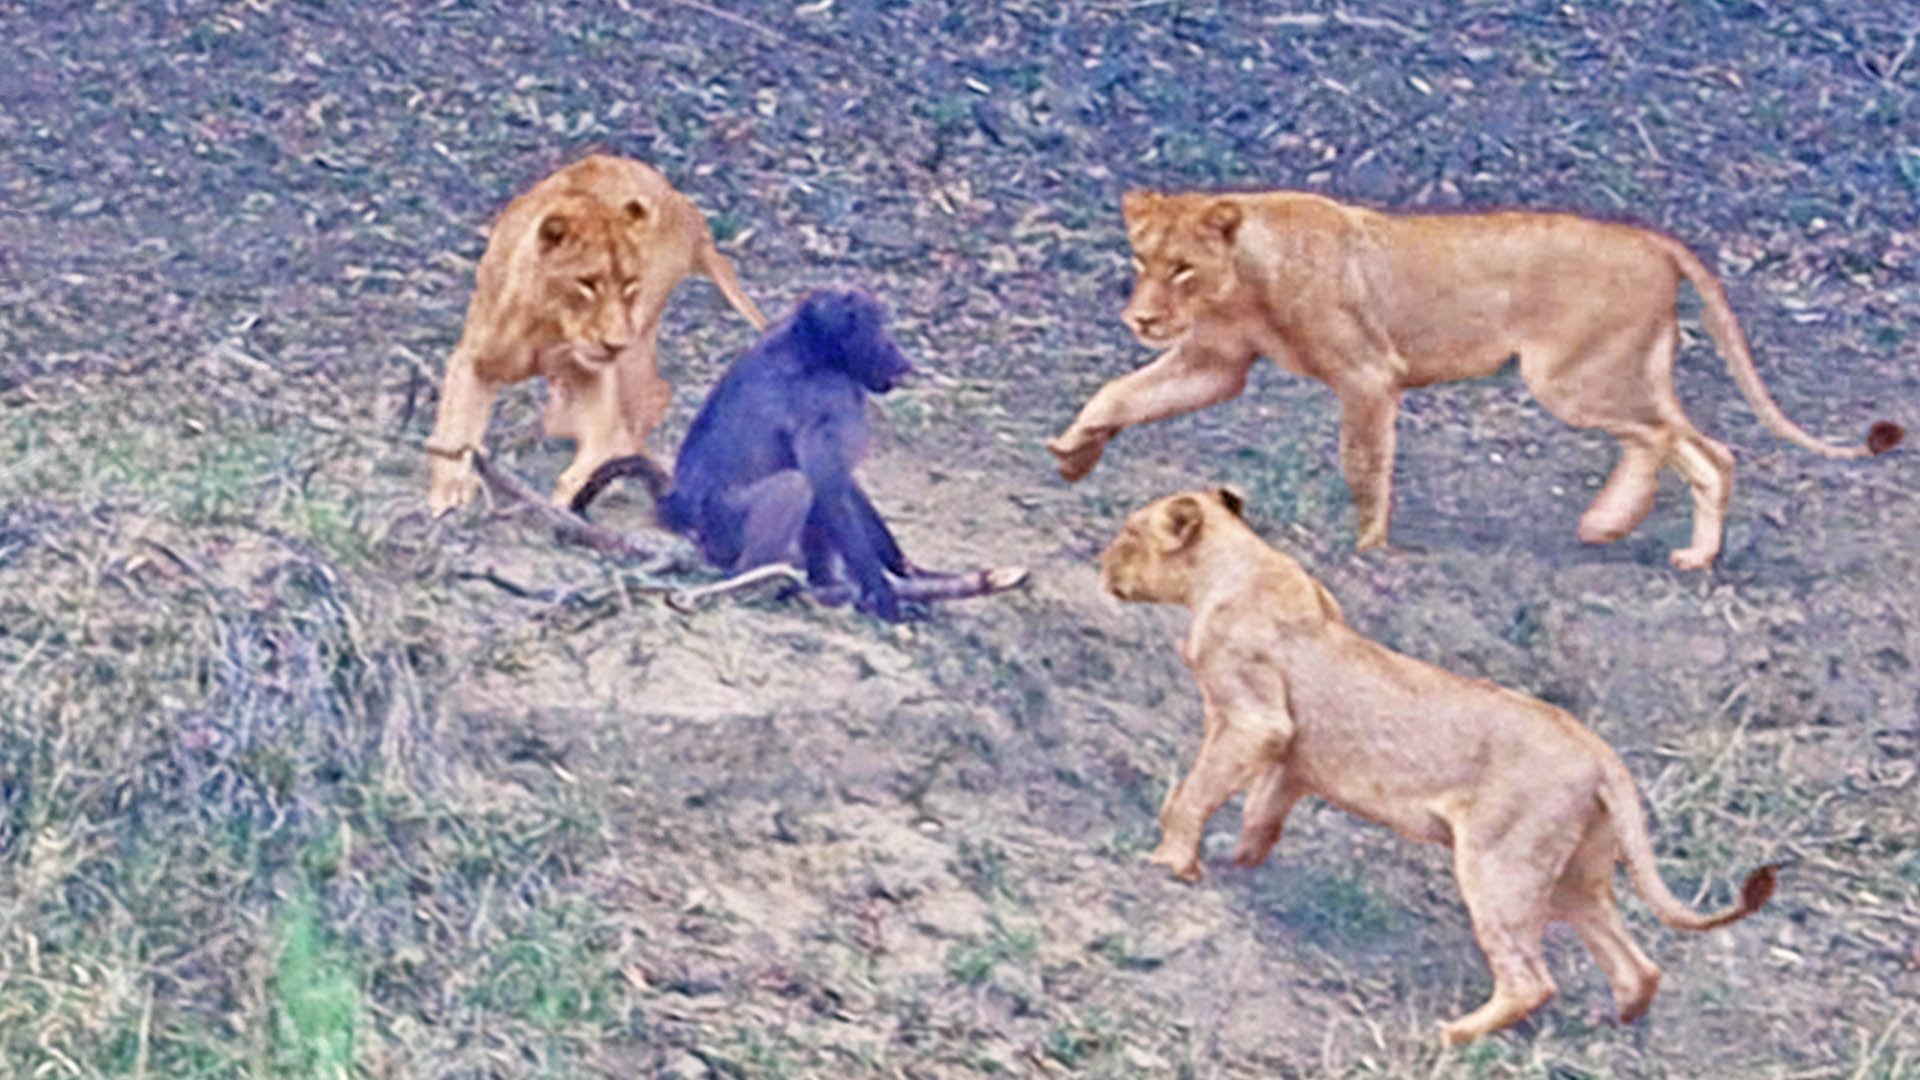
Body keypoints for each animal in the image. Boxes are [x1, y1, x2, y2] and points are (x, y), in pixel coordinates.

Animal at [426, 154, 767, 515]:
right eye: (587, 283)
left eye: (629, 283)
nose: (614, 343)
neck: (549, 322)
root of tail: (684, 205)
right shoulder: (473, 358)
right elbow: (454, 427)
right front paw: (447, 497)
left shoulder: (597, 377)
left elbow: (599, 444)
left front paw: (565, 500)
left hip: (636, 338)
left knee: (651, 398)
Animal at [1049, 190, 1903, 569]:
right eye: (1141, 260)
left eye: (1182, 268)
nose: (1140, 318)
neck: (1244, 278)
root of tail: (1652, 240)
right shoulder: (1216, 365)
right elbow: (1122, 394)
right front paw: (1074, 451)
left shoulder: (1368, 376)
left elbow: (1365, 463)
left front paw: (1368, 547)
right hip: (1619, 371)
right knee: (1684, 445)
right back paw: (1633, 535)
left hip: (1570, 376)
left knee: (1683, 443)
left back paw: (1641, 535)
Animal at [1100, 488, 1777, 1044]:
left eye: (1130, 531)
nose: (1103, 565)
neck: (1234, 566)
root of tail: (1601, 752)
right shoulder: (1291, 758)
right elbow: (1259, 818)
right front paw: (1230, 866)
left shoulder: (1253, 721)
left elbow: (1193, 793)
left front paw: (1171, 863)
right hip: (1573, 875)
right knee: (1639, 966)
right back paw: (1612, 1019)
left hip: (1500, 862)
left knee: (1531, 979)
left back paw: (1455, 1033)